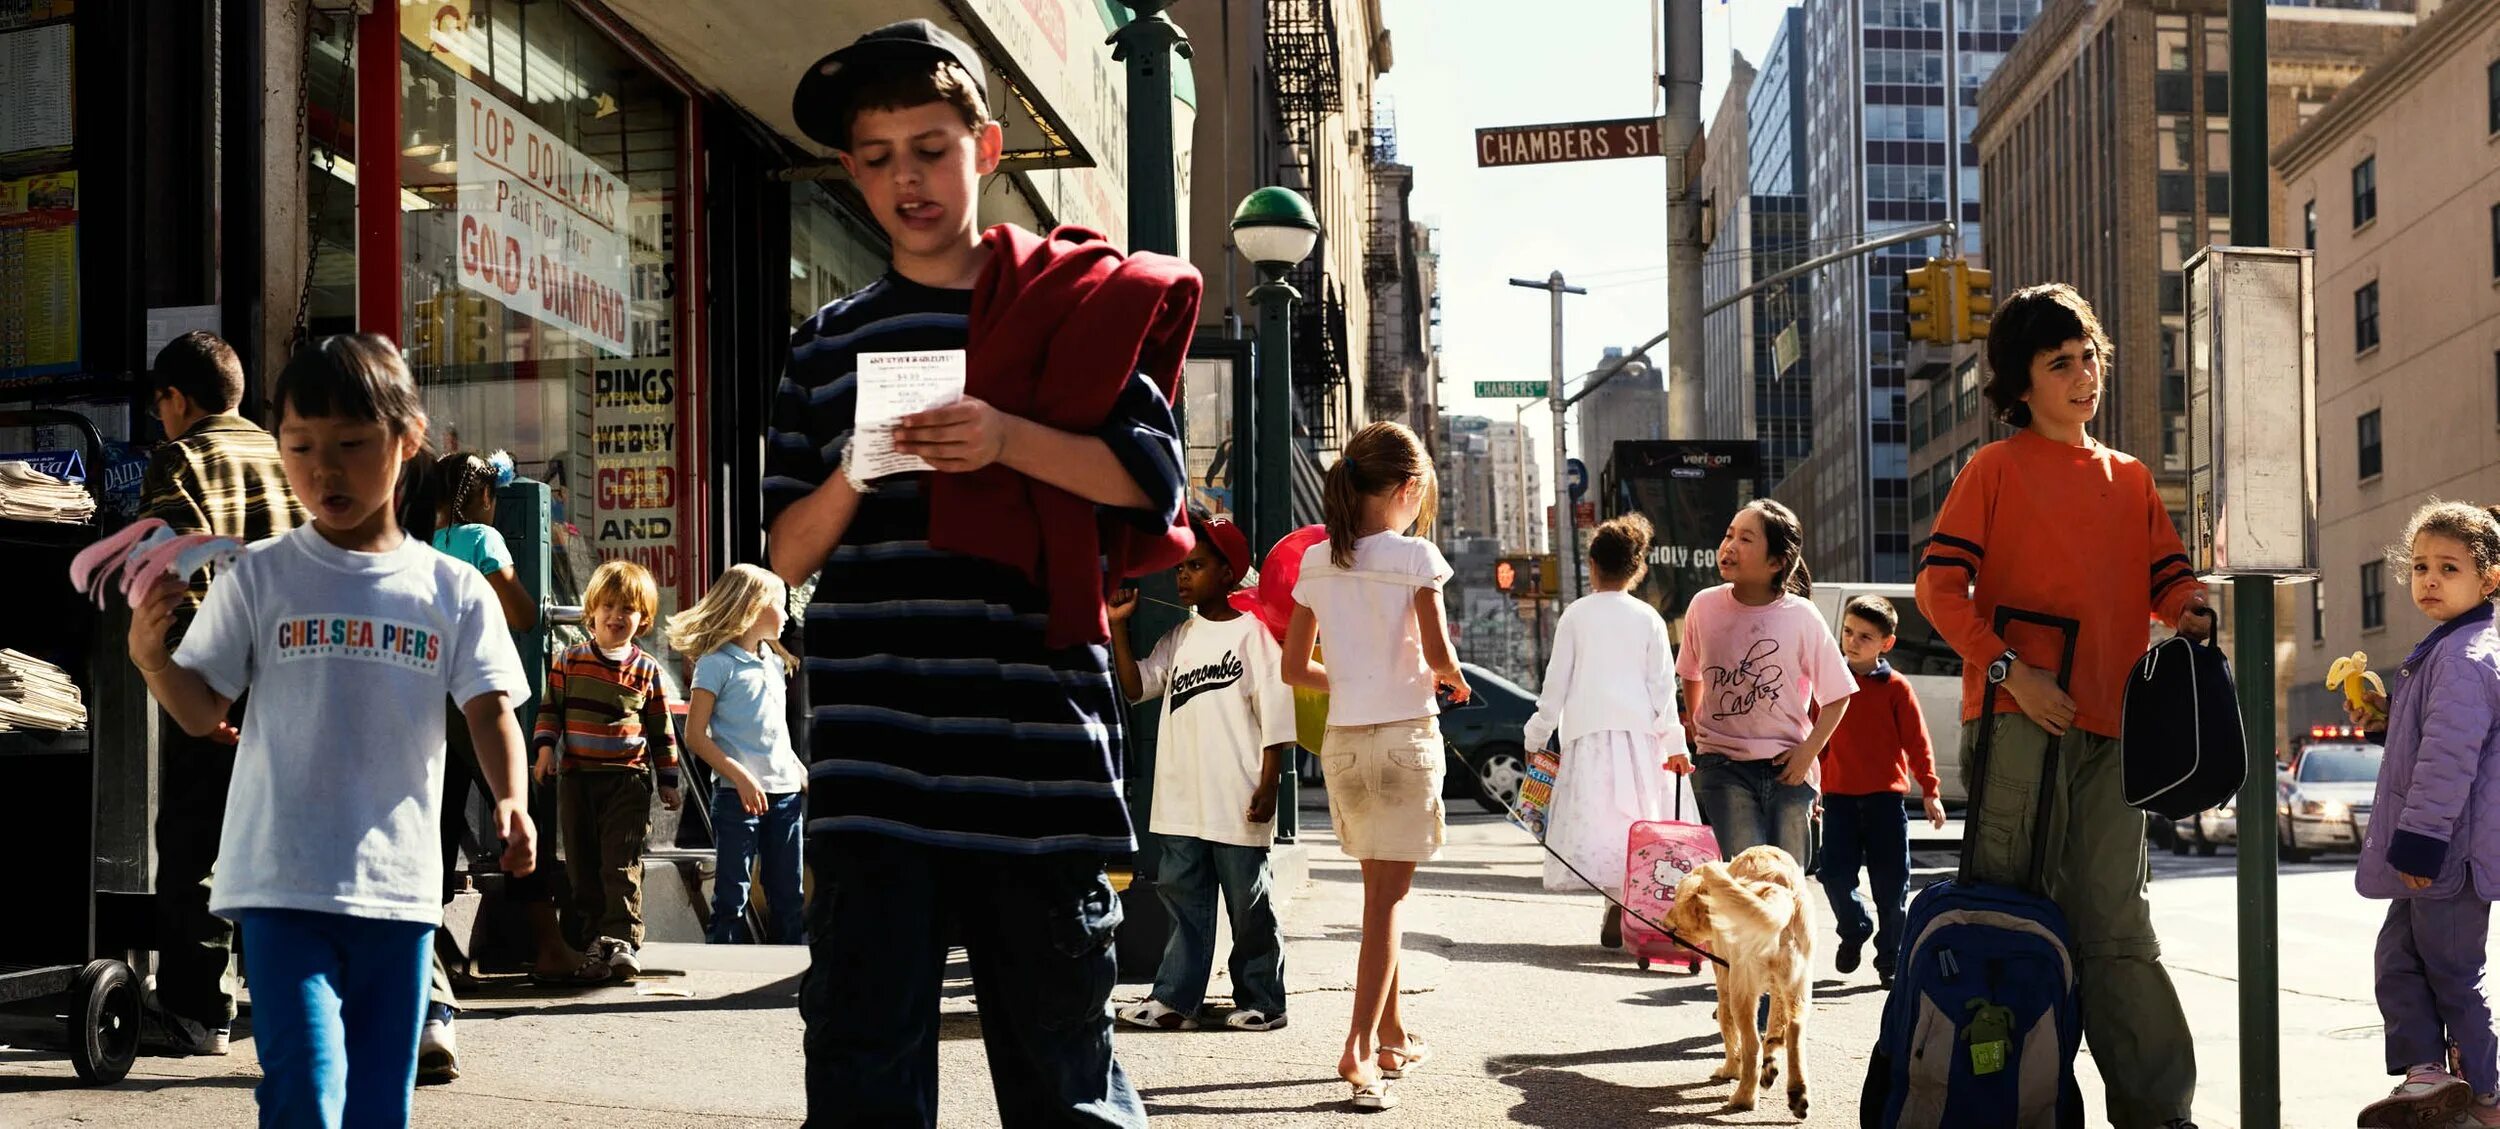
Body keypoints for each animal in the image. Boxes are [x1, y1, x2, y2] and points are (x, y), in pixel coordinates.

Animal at [1660, 849, 1820, 1119]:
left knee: (1752, 1045)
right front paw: (1770, 1066)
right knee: (1795, 1030)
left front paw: (1730, 1070)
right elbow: (1776, 1030)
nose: (1662, 921)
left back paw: (1743, 1098)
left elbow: (1726, 1023)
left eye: (1676, 898)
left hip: (1742, 990)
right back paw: (1797, 1094)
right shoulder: (1778, 988)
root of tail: (1780, 890)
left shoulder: (1725, 975)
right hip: (1798, 985)